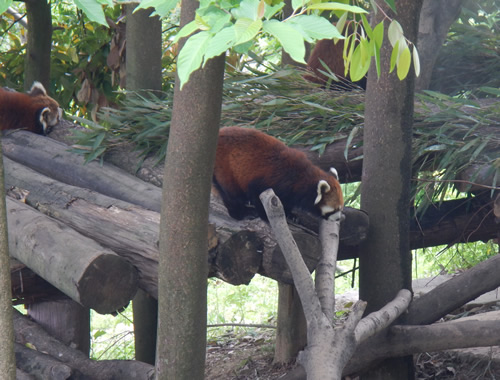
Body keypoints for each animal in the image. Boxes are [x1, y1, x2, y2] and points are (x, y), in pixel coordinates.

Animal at [213, 126, 342, 221]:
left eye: (341, 208)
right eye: (335, 210)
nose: (339, 219)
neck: (301, 178)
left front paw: (290, 214)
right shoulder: (272, 181)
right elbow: (258, 194)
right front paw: (266, 216)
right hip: (225, 168)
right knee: (232, 195)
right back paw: (241, 213)